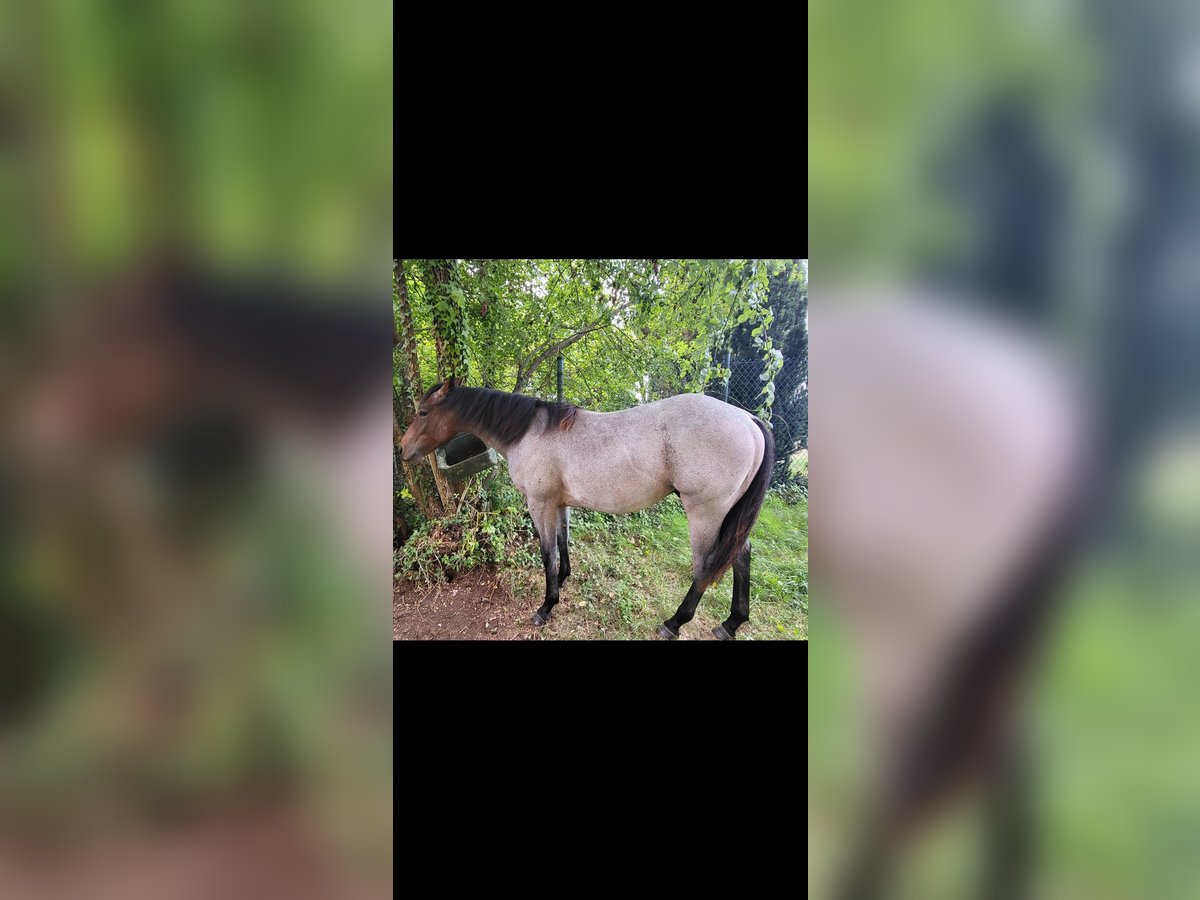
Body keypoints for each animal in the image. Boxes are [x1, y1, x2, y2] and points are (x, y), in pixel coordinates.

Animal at [398, 378, 776, 640]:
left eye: (423, 412)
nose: (402, 450)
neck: (530, 433)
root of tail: (747, 419)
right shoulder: (559, 503)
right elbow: (563, 543)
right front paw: (563, 581)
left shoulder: (539, 504)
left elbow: (547, 553)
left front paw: (546, 606)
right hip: (727, 517)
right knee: (741, 554)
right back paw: (731, 623)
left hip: (705, 515)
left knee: (705, 567)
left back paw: (673, 623)